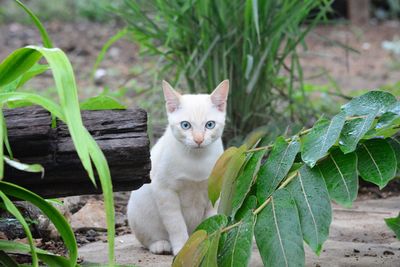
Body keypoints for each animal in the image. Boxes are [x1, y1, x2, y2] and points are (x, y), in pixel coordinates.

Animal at [126, 80, 230, 256]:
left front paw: (208, 242)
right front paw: (182, 247)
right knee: (147, 239)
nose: (198, 140)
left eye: (210, 125)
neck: (196, 159)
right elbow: (176, 224)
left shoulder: (214, 192)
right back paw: (160, 245)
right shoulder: (165, 191)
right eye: (185, 125)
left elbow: (210, 219)